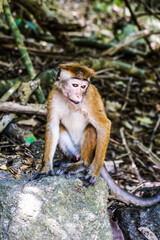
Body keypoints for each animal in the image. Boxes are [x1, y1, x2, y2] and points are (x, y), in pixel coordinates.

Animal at [30, 62, 160, 207]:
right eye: (75, 85)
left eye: (83, 87)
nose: (78, 96)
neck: (70, 101)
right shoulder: (53, 96)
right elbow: (52, 127)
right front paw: (45, 168)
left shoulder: (90, 99)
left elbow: (104, 125)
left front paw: (94, 172)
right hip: (74, 149)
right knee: (61, 129)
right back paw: (68, 160)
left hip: (91, 153)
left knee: (91, 129)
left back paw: (82, 164)